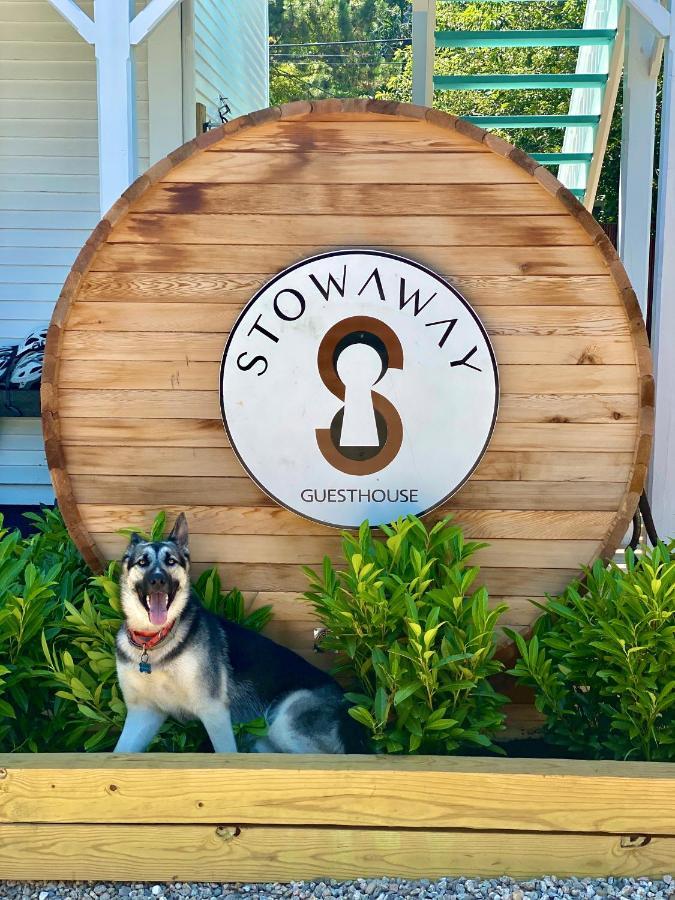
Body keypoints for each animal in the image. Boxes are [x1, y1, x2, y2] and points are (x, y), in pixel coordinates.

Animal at [113, 512, 364, 752]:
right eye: (142, 562)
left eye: (171, 561)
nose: (158, 580)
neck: (154, 642)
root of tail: (349, 708)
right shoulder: (143, 714)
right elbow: (119, 750)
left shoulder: (213, 710)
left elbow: (225, 752)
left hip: (283, 725)